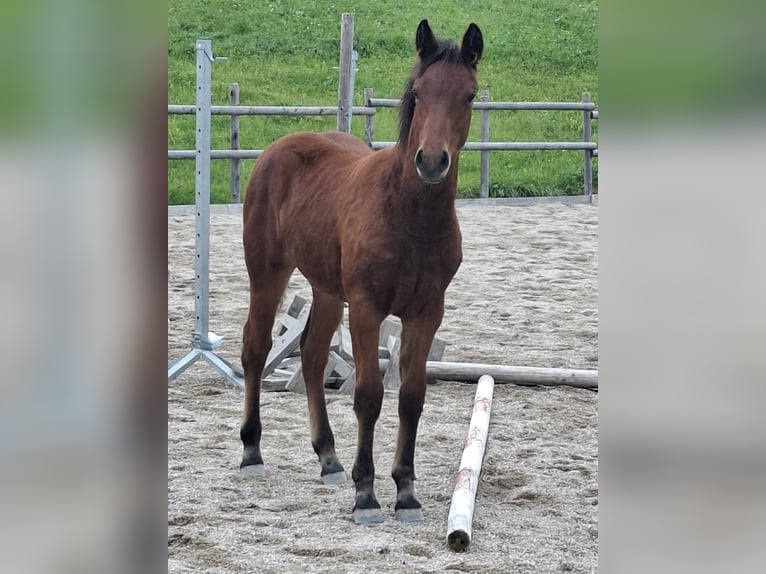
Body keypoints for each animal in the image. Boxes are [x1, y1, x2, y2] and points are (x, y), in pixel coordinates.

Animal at [239, 19, 483, 525]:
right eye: (419, 92)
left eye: (469, 95)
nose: (432, 161)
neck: (408, 215)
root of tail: (277, 149)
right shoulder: (368, 309)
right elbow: (369, 395)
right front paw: (366, 494)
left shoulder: (426, 314)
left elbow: (411, 397)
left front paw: (405, 492)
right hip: (267, 272)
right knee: (256, 346)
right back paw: (252, 450)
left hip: (328, 291)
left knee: (313, 356)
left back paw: (329, 458)